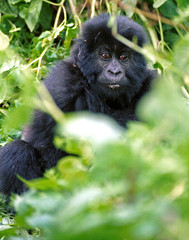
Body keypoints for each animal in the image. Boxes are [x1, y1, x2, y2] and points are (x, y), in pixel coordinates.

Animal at [0, 13, 155, 195]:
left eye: (124, 57)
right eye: (104, 55)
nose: (114, 72)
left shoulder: (153, 85)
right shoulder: (62, 85)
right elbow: (49, 150)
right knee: (18, 150)